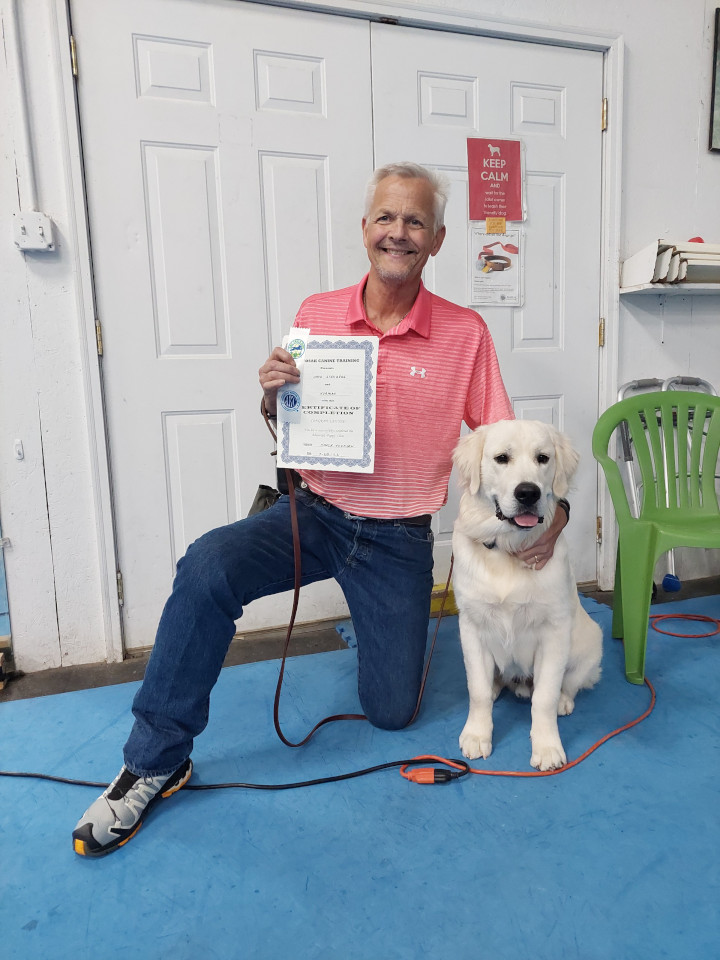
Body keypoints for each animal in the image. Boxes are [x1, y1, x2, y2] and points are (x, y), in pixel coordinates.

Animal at [456, 420, 600, 772]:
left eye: (543, 458)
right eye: (501, 458)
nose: (528, 492)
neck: (508, 549)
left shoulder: (554, 632)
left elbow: (543, 698)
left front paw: (547, 748)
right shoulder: (472, 627)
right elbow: (477, 690)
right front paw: (477, 735)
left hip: (591, 644)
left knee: (568, 683)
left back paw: (563, 700)